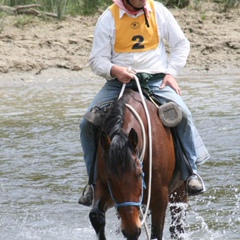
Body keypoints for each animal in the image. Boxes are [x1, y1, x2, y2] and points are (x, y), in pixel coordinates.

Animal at [88, 88, 188, 240]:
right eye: (110, 179)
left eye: (139, 174)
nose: (131, 229)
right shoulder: (102, 183)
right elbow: (96, 216)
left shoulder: (160, 195)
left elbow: (156, 233)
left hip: (180, 189)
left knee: (178, 225)